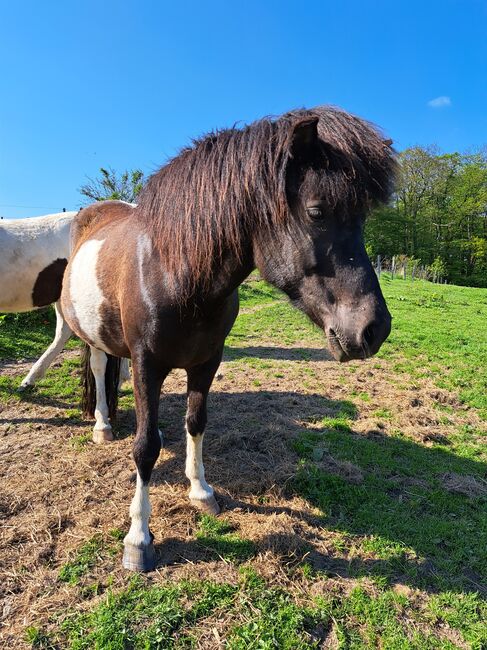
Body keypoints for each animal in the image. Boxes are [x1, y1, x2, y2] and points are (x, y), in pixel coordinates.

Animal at [61, 105, 396, 568]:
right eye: (316, 212)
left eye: (362, 218)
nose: (374, 328)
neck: (175, 272)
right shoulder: (148, 364)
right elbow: (145, 447)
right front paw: (139, 539)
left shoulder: (208, 362)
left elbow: (196, 423)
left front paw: (201, 492)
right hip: (91, 338)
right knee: (97, 369)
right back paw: (102, 426)